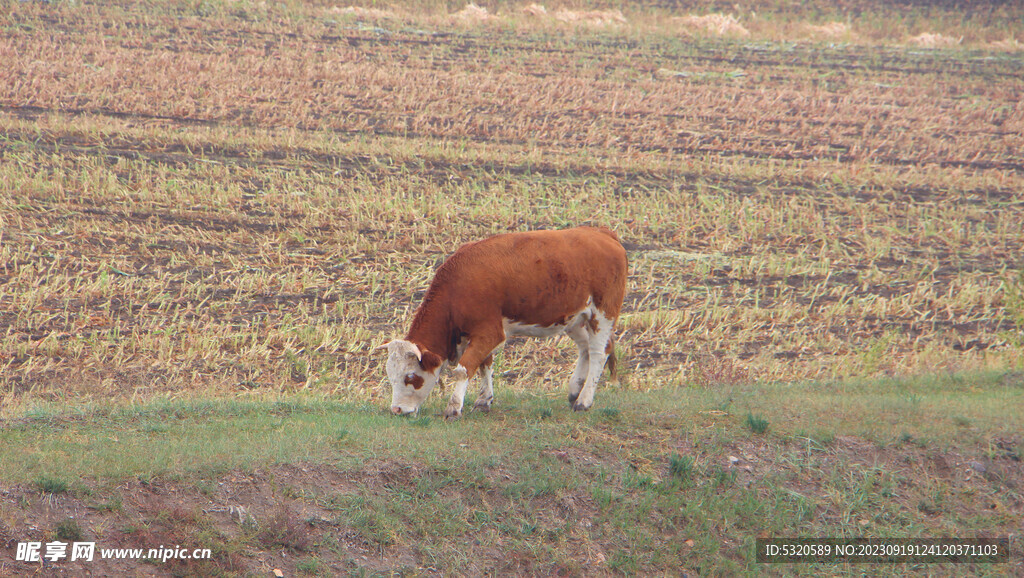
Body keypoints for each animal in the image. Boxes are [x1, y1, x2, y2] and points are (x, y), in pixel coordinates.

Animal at [380, 226, 626, 420]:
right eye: (390, 376)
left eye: (410, 377)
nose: (397, 410)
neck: (457, 287)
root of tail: (602, 233)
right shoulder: (478, 334)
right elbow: (484, 365)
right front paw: (483, 401)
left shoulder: (489, 332)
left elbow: (463, 370)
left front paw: (454, 408)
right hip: (574, 318)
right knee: (585, 348)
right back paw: (575, 391)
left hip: (603, 312)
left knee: (599, 352)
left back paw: (584, 401)